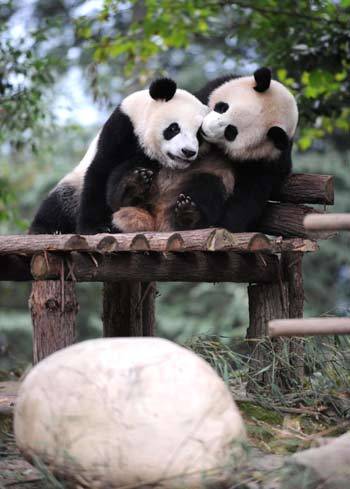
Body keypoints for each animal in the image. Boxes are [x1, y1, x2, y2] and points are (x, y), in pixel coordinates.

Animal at [29, 78, 208, 234]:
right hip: (73, 186)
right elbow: (101, 171)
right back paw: (47, 229)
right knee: (58, 203)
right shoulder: (122, 127)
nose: (188, 151)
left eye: (199, 135)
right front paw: (95, 227)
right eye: (174, 128)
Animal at [111, 67, 298, 234]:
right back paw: (132, 187)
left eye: (231, 132)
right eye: (223, 107)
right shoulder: (210, 88)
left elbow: (248, 197)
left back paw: (187, 216)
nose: (204, 128)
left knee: (208, 184)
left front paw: (224, 224)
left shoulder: (267, 162)